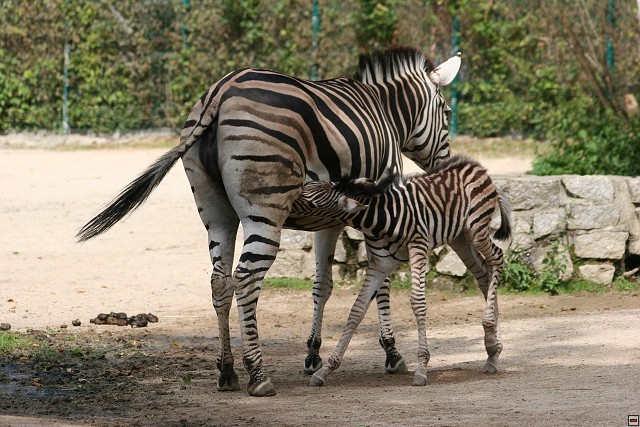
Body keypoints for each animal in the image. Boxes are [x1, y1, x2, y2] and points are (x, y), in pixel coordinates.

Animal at [79, 47, 460, 398]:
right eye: (447, 112)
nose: (444, 164)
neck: (387, 111)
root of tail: (219, 91)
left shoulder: (330, 218)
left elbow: (322, 285)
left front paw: (312, 356)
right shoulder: (379, 207)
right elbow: (380, 284)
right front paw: (392, 353)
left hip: (216, 214)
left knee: (219, 282)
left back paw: (227, 371)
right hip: (265, 211)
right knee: (246, 279)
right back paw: (258, 375)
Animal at [296, 156, 516, 388]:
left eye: (311, 204)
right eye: (307, 187)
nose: (287, 205)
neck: (380, 218)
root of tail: (477, 166)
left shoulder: (418, 246)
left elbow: (417, 302)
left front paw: (421, 367)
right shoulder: (380, 264)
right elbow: (357, 309)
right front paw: (326, 370)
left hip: (476, 231)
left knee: (498, 258)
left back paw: (490, 335)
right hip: (460, 238)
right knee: (484, 275)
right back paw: (493, 351)